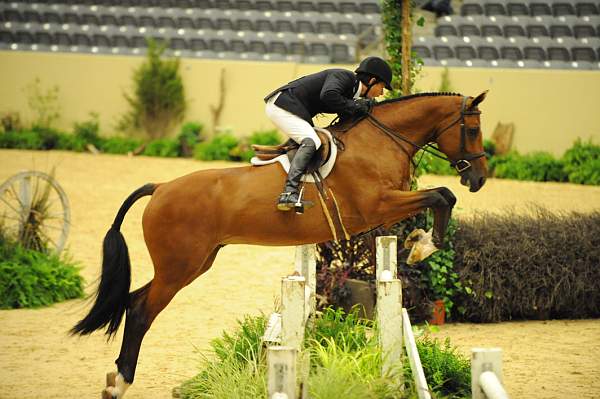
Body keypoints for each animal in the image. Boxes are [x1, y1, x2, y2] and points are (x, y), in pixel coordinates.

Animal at [72, 91, 490, 399]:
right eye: (472, 129)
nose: (480, 179)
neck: (381, 140)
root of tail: (159, 187)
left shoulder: (385, 210)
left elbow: (441, 197)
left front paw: (420, 243)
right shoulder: (379, 204)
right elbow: (442, 195)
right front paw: (426, 246)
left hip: (196, 263)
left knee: (135, 300)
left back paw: (117, 378)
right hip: (179, 268)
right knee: (141, 310)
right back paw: (121, 382)